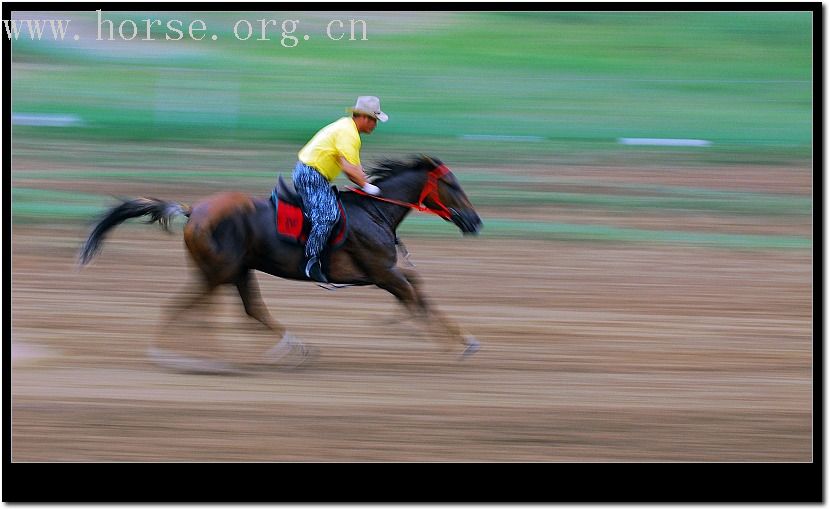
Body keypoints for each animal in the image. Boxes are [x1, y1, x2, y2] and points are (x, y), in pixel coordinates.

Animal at [78, 153, 484, 368]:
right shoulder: (381, 272)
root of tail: (194, 210)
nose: (476, 221)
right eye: (453, 186)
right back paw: (201, 358)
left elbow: (417, 292)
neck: (375, 211)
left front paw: (461, 340)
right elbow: (414, 298)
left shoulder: (386, 272)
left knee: (247, 310)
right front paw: (453, 344)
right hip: (218, 271)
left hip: (237, 270)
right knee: (193, 309)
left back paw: (292, 348)